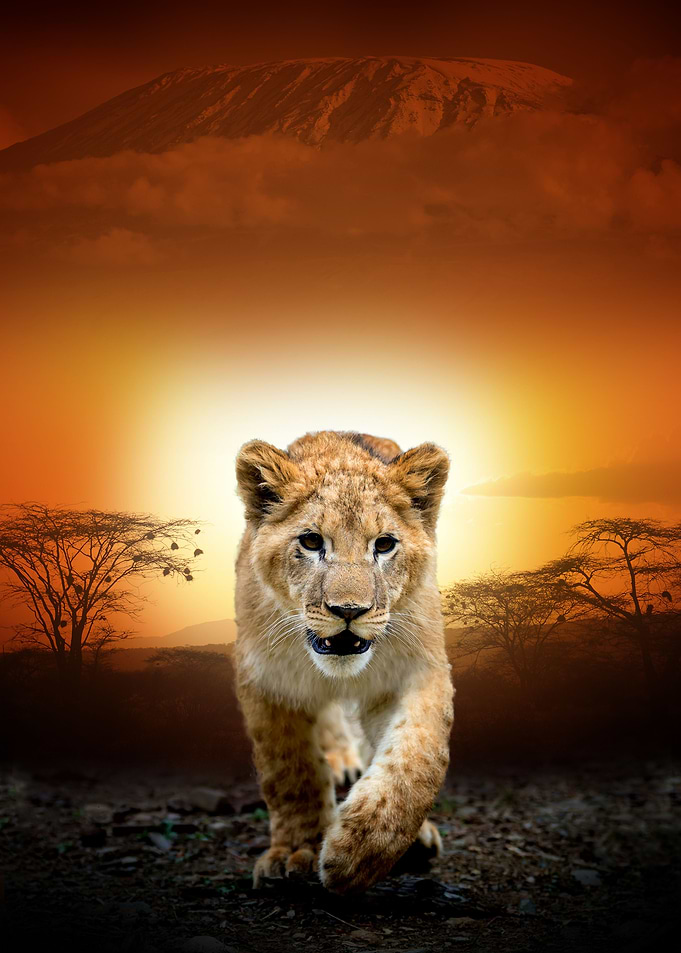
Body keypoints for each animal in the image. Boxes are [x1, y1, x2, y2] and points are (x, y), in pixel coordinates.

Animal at [234, 430, 454, 894]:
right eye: (311, 541)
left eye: (384, 544)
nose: (349, 610)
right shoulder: (267, 680)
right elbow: (290, 772)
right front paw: (294, 853)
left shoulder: (416, 669)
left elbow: (416, 761)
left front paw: (360, 851)